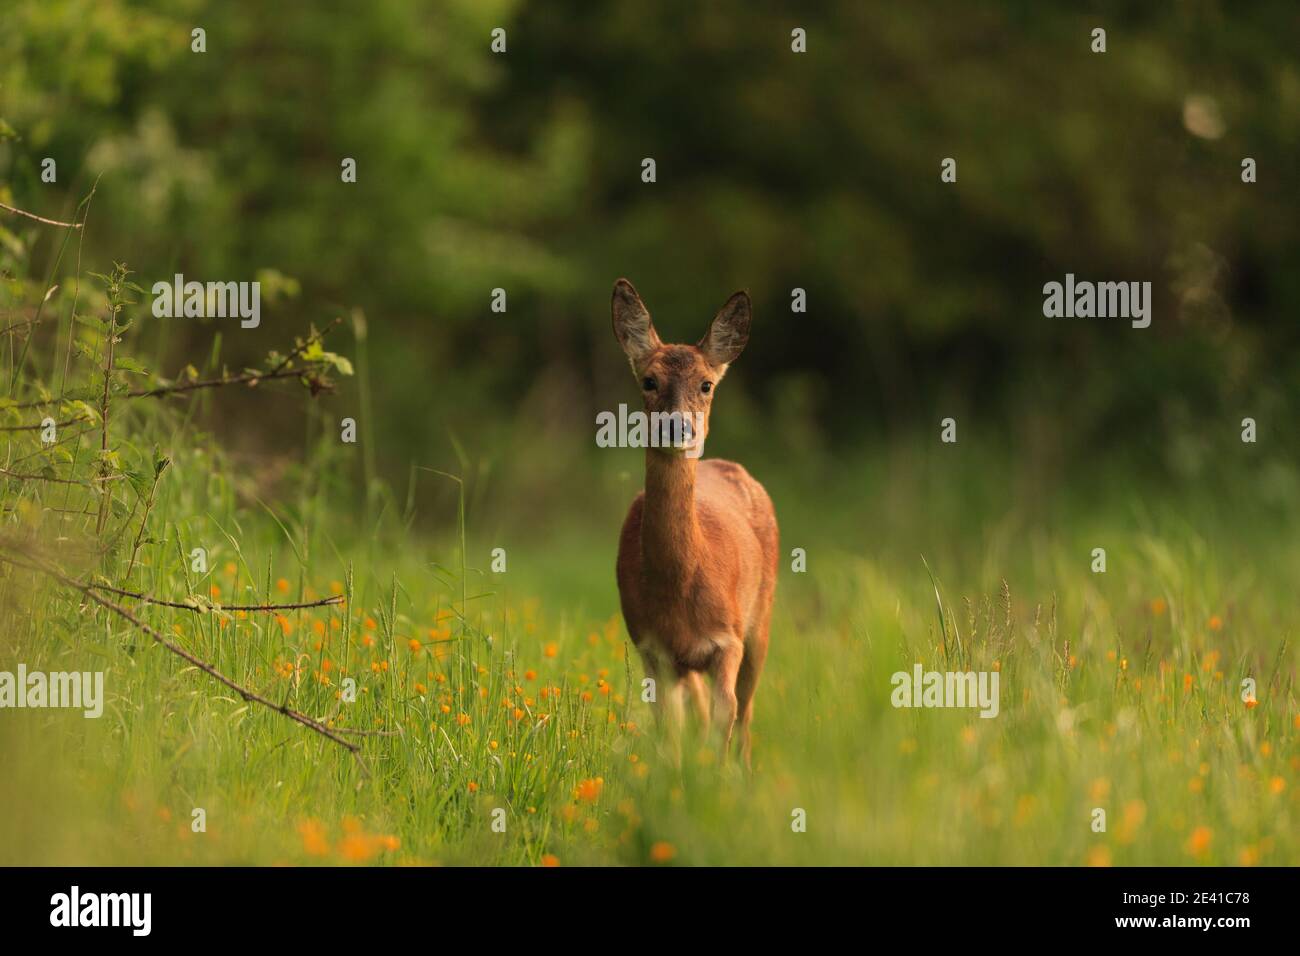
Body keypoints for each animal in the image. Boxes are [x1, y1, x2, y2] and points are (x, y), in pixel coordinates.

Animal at [611, 278, 778, 768]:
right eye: (649, 380)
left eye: (706, 384)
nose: (677, 427)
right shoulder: (652, 648)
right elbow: (670, 729)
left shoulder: (727, 640)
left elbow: (728, 714)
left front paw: (716, 781)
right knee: (700, 713)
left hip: (761, 617)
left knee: (745, 712)